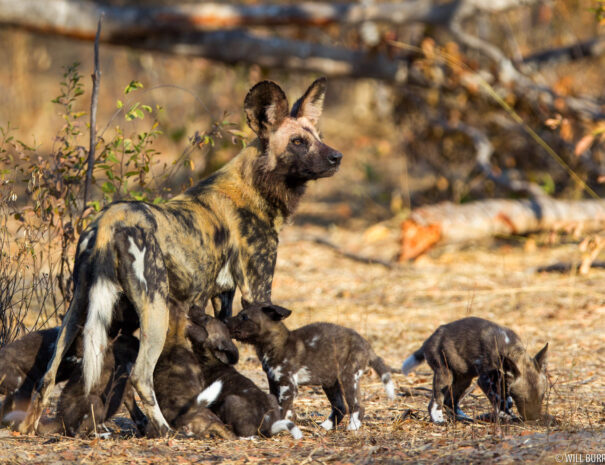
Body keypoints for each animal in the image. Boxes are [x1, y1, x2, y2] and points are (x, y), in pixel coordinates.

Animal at [21, 78, 342, 434]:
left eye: (319, 137)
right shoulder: (257, 292)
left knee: (47, 375)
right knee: (140, 377)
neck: (255, 186)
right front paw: (277, 417)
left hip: (78, 307)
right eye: (298, 142)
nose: (336, 157)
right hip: (155, 310)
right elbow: (273, 373)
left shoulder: (222, 297)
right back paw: (164, 430)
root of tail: (108, 221)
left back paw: (30, 427)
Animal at [226, 302, 396, 430]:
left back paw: (352, 428)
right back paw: (325, 427)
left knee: (357, 406)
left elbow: (282, 409)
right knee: (340, 408)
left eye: (244, 317)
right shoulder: (274, 382)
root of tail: (367, 344)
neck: (274, 345)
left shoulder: (288, 386)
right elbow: (279, 407)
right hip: (330, 383)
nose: (225, 321)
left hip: (348, 378)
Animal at [402, 318, 548, 422]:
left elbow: (506, 399)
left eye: (541, 397)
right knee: (436, 401)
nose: (533, 418)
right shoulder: (485, 380)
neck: (512, 351)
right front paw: (505, 416)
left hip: (463, 379)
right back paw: (438, 420)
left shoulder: (502, 381)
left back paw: (463, 418)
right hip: (445, 376)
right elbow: (500, 401)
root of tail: (430, 339)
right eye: (522, 399)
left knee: (450, 402)